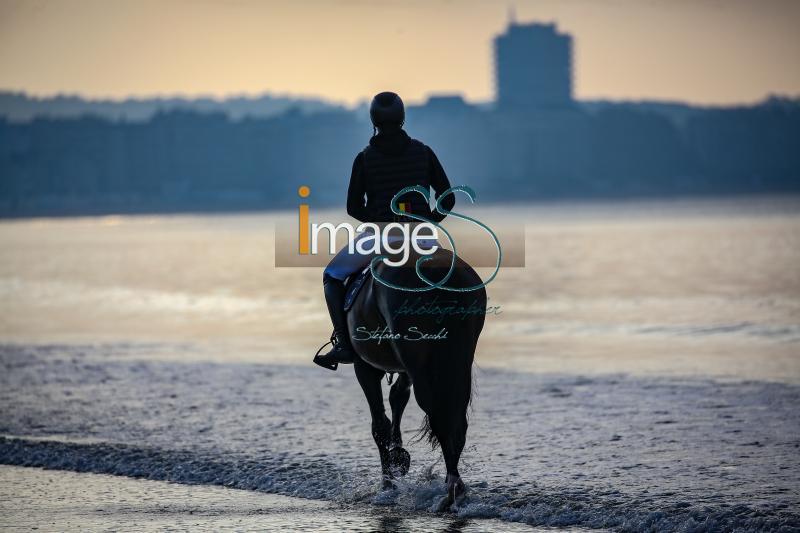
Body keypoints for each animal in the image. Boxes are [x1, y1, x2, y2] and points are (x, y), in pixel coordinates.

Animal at [346, 247, 484, 510]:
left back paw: (451, 488)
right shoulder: (403, 371)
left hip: (420, 366)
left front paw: (387, 484)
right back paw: (455, 488)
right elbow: (397, 400)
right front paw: (397, 458)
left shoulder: (365, 366)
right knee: (455, 420)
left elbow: (380, 425)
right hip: (457, 361)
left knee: (439, 416)